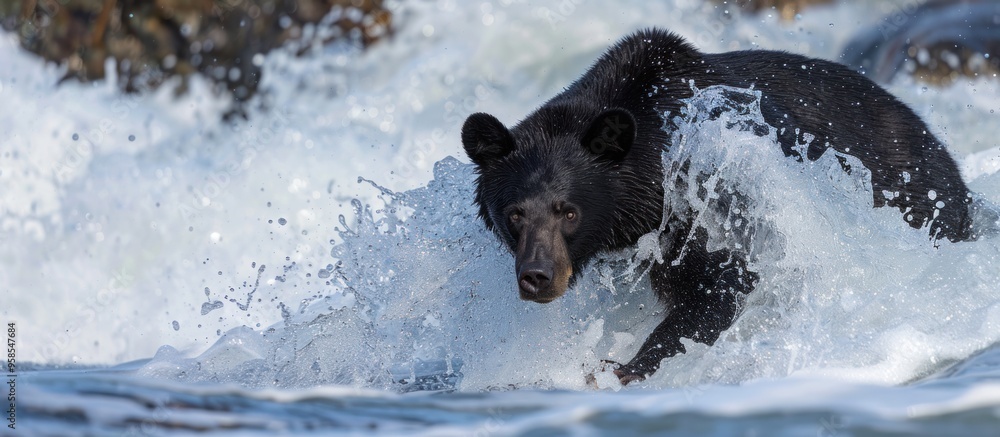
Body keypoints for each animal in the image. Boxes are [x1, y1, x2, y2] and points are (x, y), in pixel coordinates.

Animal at [460, 28, 974, 385]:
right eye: (514, 213)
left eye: (569, 211)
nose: (538, 276)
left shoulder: (707, 195)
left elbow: (720, 281)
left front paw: (623, 365)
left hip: (917, 202)